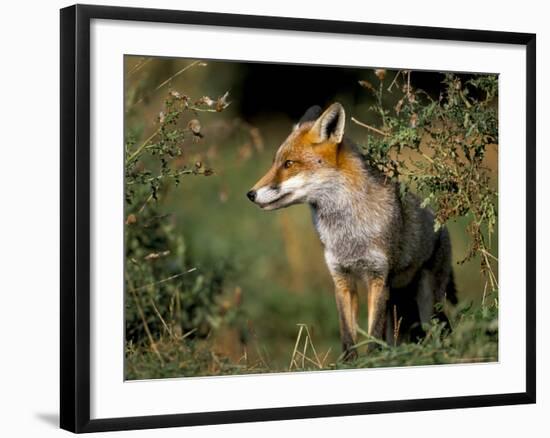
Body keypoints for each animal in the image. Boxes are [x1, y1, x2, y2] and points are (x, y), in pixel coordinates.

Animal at [248, 102, 460, 360]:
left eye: (289, 164)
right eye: (275, 163)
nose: (250, 194)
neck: (348, 234)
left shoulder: (378, 278)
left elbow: (373, 335)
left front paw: (373, 361)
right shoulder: (341, 278)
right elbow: (348, 336)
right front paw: (349, 363)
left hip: (429, 302)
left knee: (441, 331)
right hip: (399, 303)